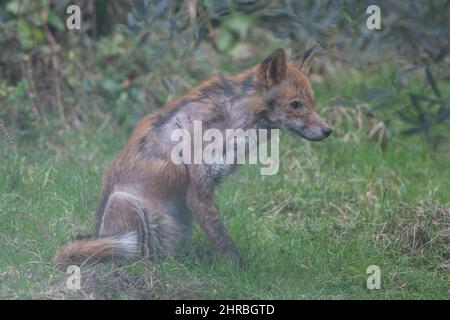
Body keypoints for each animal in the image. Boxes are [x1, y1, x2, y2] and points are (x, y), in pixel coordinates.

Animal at [54, 47, 332, 268]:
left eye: (312, 103)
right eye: (296, 105)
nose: (328, 130)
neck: (233, 121)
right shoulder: (198, 191)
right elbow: (224, 241)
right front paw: (241, 272)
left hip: (177, 233)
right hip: (125, 204)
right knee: (136, 257)